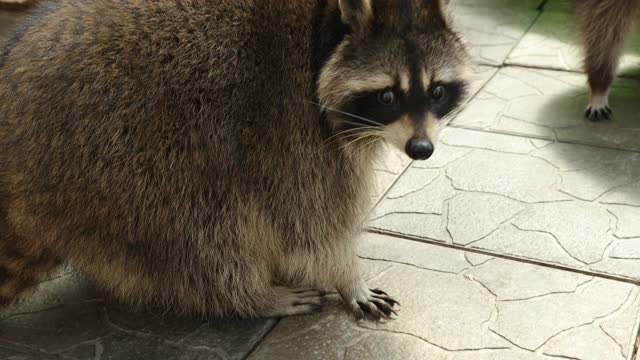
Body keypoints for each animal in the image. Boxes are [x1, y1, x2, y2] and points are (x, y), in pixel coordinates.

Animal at [0, 0, 470, 320]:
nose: (421, 150)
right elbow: (312, 221)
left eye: (437, 91)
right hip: (115, 161)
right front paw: (347, 277)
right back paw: (250, 295)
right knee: (207, 230)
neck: (323, 30)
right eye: (388, 96)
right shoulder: (292, 128)